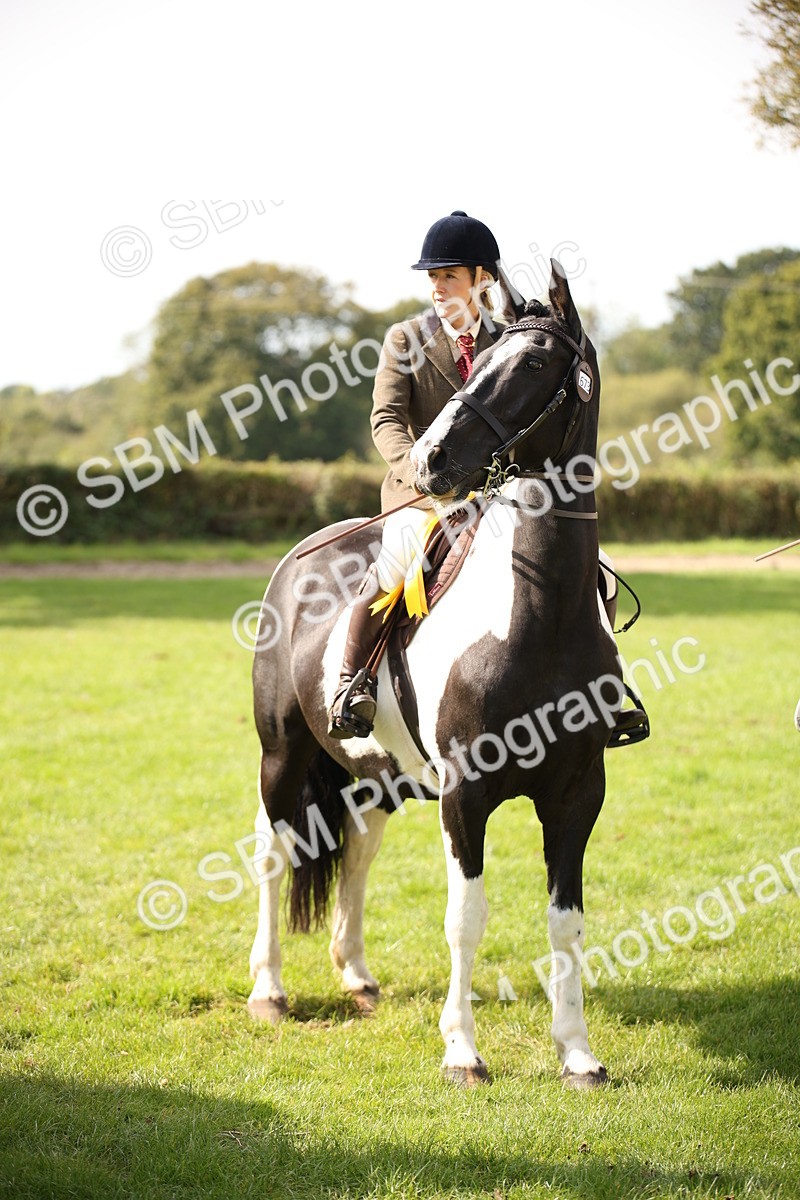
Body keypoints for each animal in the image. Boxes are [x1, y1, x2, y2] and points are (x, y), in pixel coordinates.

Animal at [246, 260, 623, 1088]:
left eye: (535, 363)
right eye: (479, 365)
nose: (430, 461)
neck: (538, 618)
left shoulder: (578, 794)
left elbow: (567, 923)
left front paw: (578, 1052)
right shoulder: (466, 794)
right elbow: (465, 919)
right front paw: (462, 1051)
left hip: (375, 773)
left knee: (356, 850)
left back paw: (356, 975)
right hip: (282, 756)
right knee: (273, 852)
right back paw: (269, 990)